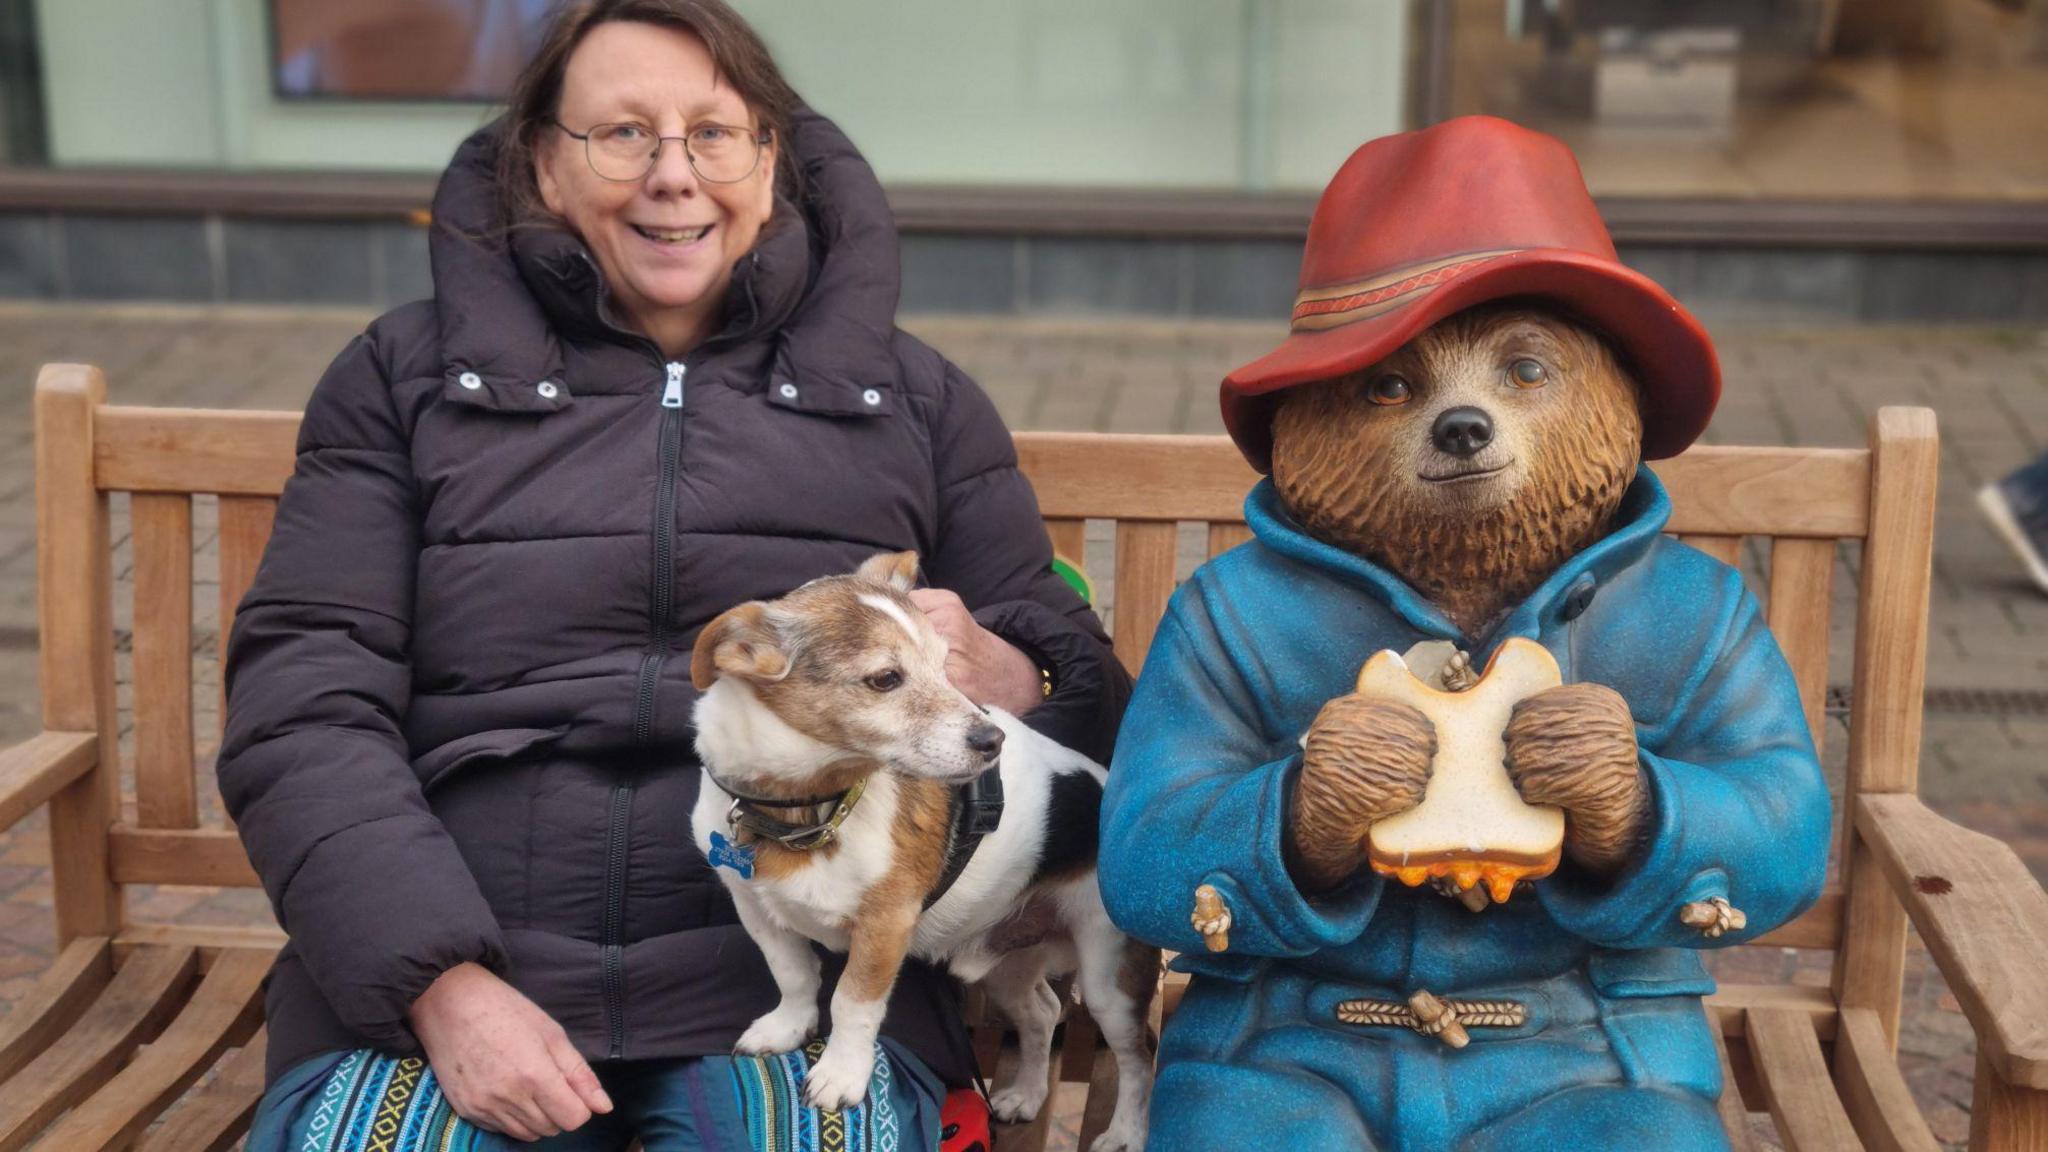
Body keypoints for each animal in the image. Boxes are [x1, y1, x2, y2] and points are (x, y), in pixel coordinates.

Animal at [692, 553, 1155, 1139]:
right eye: (885, 679)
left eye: (946, 663)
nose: (993, 740)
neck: (810, 811)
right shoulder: (756, 908)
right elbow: (793, 974)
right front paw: (788, 1028)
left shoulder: (885, 926)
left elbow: (852, 1002)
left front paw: (841, 1075)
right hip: (1009, 965)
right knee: (1042, 1014)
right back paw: (1027, 1095)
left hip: (1108, 980)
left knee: (1137, 1060)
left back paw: (1126, 1133)